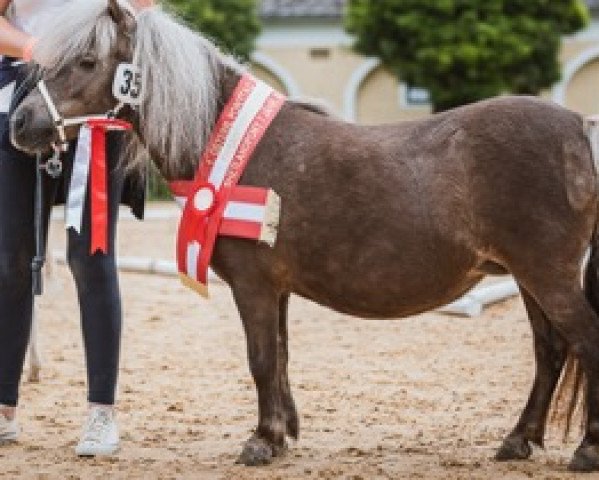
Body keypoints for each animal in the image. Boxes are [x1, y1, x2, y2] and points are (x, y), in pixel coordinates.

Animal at [9, 0, 599, 472]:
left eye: (87, 61)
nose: (20, 123)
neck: (235, 148)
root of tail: (578, 126)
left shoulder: (253, 286)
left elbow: (261, 358)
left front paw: (261, 441)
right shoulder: (278, 290)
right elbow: (282, 356)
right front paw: (284, 433)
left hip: (547, 275)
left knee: (584, 340)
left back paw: (585, 450)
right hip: (528, 278)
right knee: (550, 351)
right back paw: (518, 441)